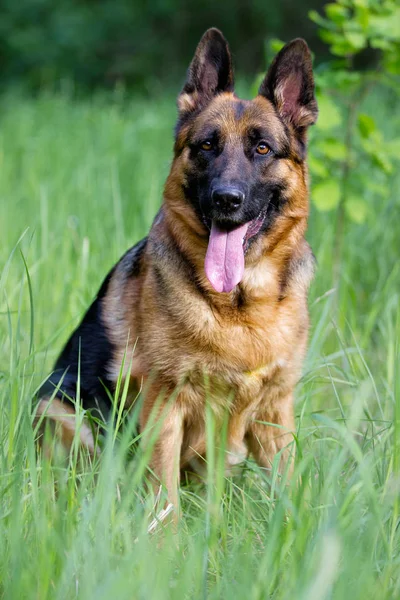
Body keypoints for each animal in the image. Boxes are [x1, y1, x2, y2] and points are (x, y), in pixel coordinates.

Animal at [37, 28, 318, 516]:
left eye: (262, 148)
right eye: (206, 145)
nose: (226, 199)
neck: (241, 307)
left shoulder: (275, 413)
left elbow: (289, 487)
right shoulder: (165, 406)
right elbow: (163, 497)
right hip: (61, 408)